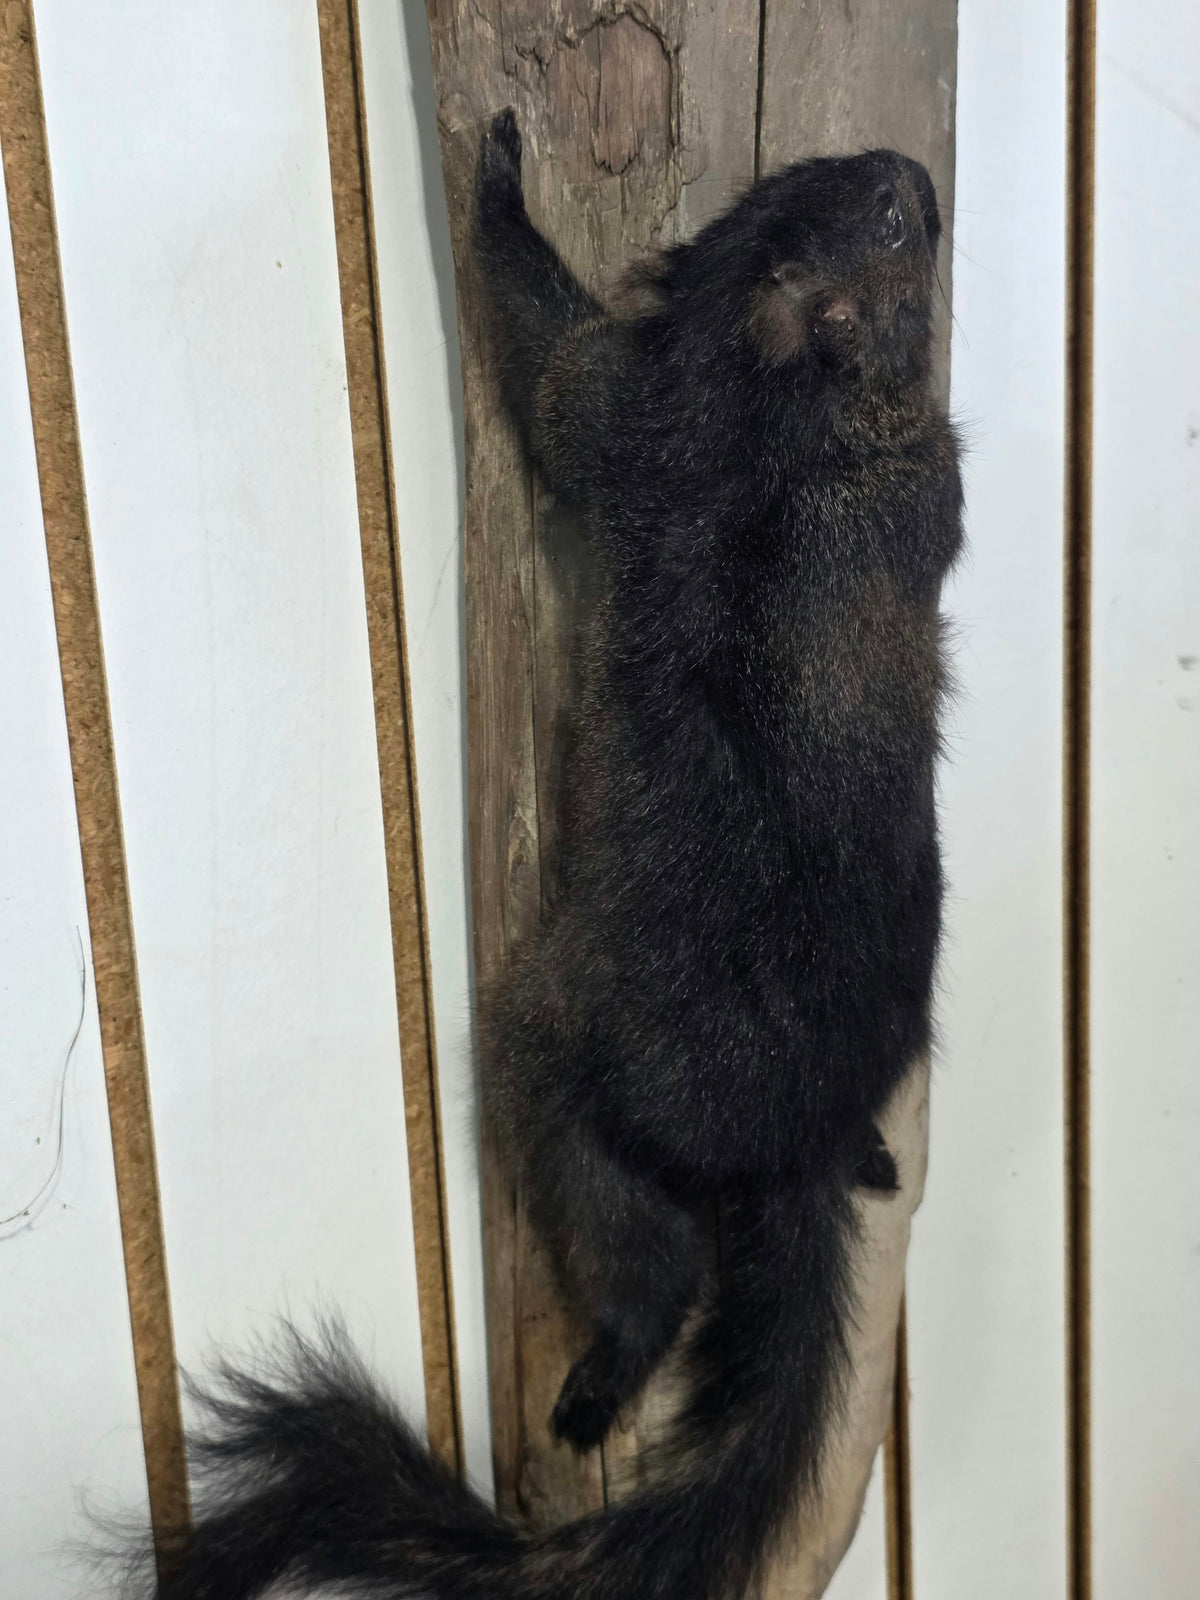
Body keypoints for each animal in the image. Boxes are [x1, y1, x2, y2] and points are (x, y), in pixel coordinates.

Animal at [126, 108, 962, 1600]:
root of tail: (785, 1147)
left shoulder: (693, 421)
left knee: (649, 1262)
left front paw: (498, 179)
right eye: (860, 209)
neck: (756, 381)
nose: (909, 177)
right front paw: (502, 169)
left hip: (567, 1058)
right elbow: (556, 362)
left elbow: (552, 366)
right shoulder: (700, 417)